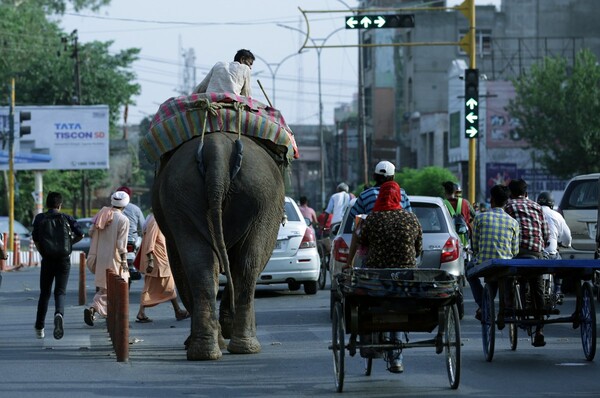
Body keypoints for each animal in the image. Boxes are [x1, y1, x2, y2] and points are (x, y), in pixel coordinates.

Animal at [154, 134, 288, 360]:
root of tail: (217, 149)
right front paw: (225, 327)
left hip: (187, 195)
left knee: (204, 265)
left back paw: (211, 350)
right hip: (258, 199)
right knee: (245, 265)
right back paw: (235, 346)